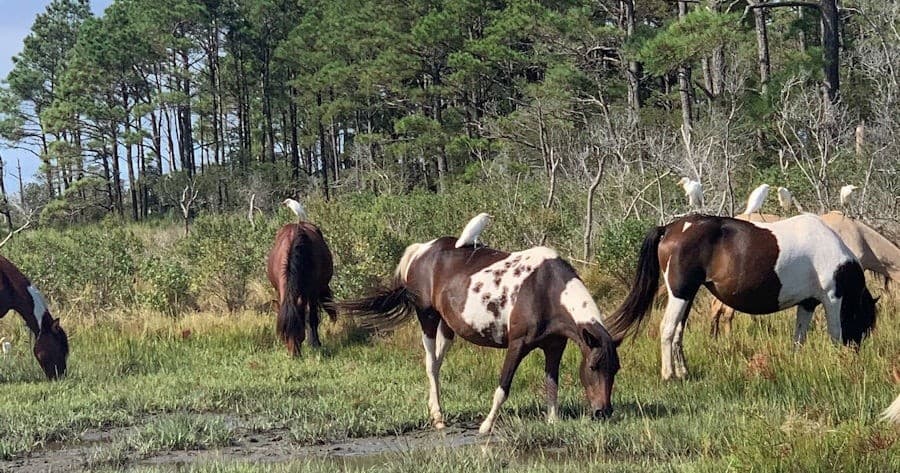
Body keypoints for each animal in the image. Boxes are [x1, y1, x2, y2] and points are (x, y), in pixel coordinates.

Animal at [266, 222, 337, 356]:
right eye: (283, 335)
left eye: (299, 331)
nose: (294, 355)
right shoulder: (278, 291)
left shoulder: (313, 292)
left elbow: (312, 318)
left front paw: (315, 344)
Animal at [338, 237, 620, 434]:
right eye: (594, 366)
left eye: (615, 369)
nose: (603, 412)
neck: (545, 289)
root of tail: (421, 249)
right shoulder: (517, 345)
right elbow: (503, 387)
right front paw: (486, 426)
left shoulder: (554, 346)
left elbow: (552, 384)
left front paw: (552, 421)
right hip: (427, 318)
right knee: (430, 364)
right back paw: (438, 418)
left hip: (448, 327)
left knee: (437, 363)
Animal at [607, 214, 877, 381]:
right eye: (864, 322)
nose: (855, 356)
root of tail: (669, 229)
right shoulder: (832, 298)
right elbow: (835, 334)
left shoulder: (807, 304)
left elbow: (799, 337)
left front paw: (796, 361)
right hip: (680, 293)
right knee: (668, 329)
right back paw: (669, 375)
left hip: (687, 296)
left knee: (678, 333)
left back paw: (683, 372)